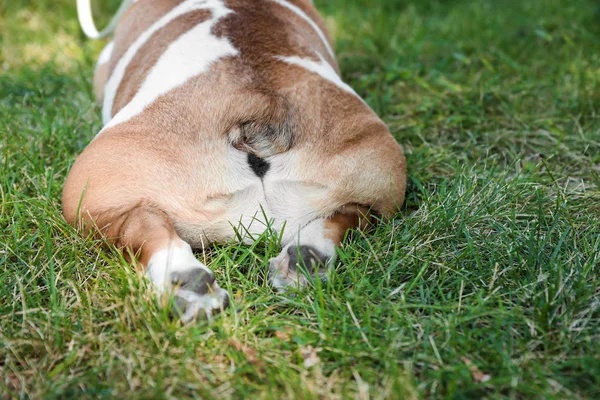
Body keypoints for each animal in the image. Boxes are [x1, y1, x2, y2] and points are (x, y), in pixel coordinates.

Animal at [63, 0, 406, 322]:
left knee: (141, 224)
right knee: (354, 214)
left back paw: (185, 284)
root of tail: (258, 103)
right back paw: (306, 258)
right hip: (378, 174)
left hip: (89, 191)